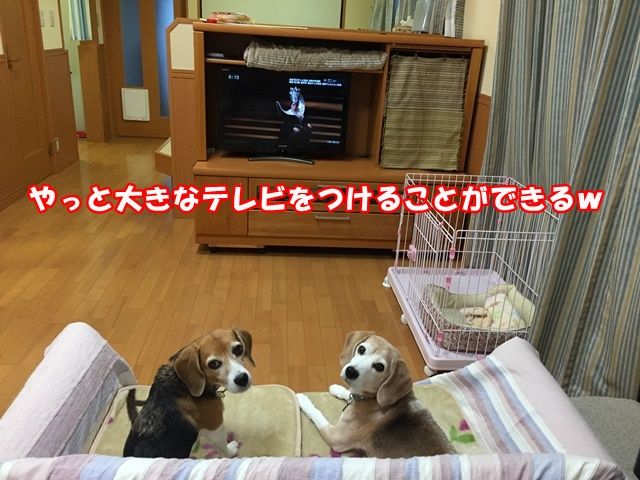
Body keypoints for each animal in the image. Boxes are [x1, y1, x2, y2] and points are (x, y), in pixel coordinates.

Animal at [123, 328, 255, 458]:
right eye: (214, 364)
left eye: (238, 349)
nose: (242, 379)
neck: (182, 382)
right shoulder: (215, 427)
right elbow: (222, 449)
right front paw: (231, 450)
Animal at [297, 331, 454, 458]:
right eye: (361, 349)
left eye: (379, 366)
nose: (351, 371)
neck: (372, 399)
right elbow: (349, 393)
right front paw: (338, 389)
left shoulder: (336, 437)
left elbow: (317, 414)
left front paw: (303, 400)